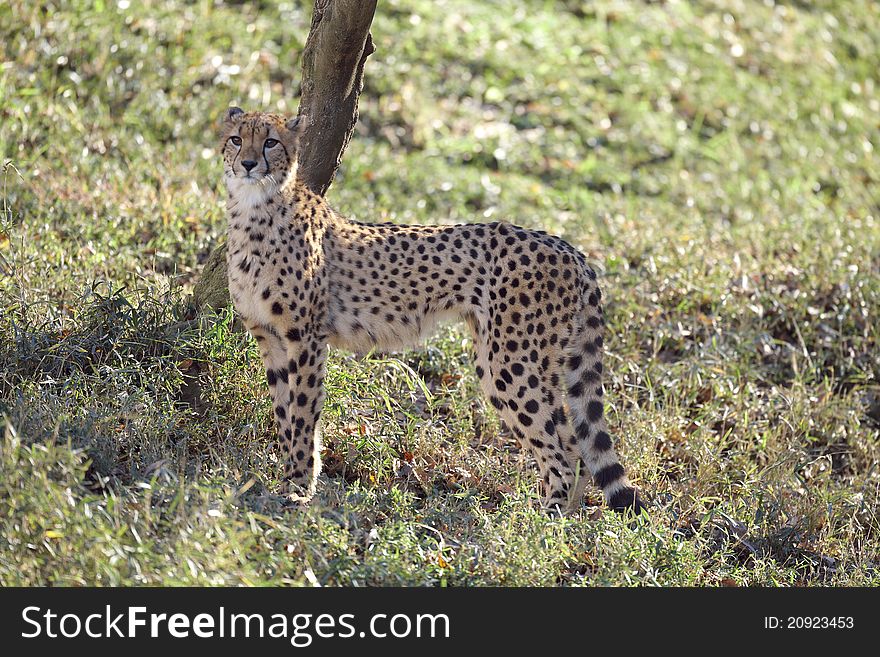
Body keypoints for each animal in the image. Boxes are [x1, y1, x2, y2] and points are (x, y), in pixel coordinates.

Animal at [220, 107, 648, 516]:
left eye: (271, 142)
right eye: (237, 139)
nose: (248, 164)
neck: (254, 209)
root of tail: (569, 248)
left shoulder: (306, 338)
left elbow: (304, 414)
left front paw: (297, 488)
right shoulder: (270, 338)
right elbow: (283, 413)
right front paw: (286, 479)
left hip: (510, 364)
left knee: (566, 450)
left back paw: (545, 523)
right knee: (573, 444)